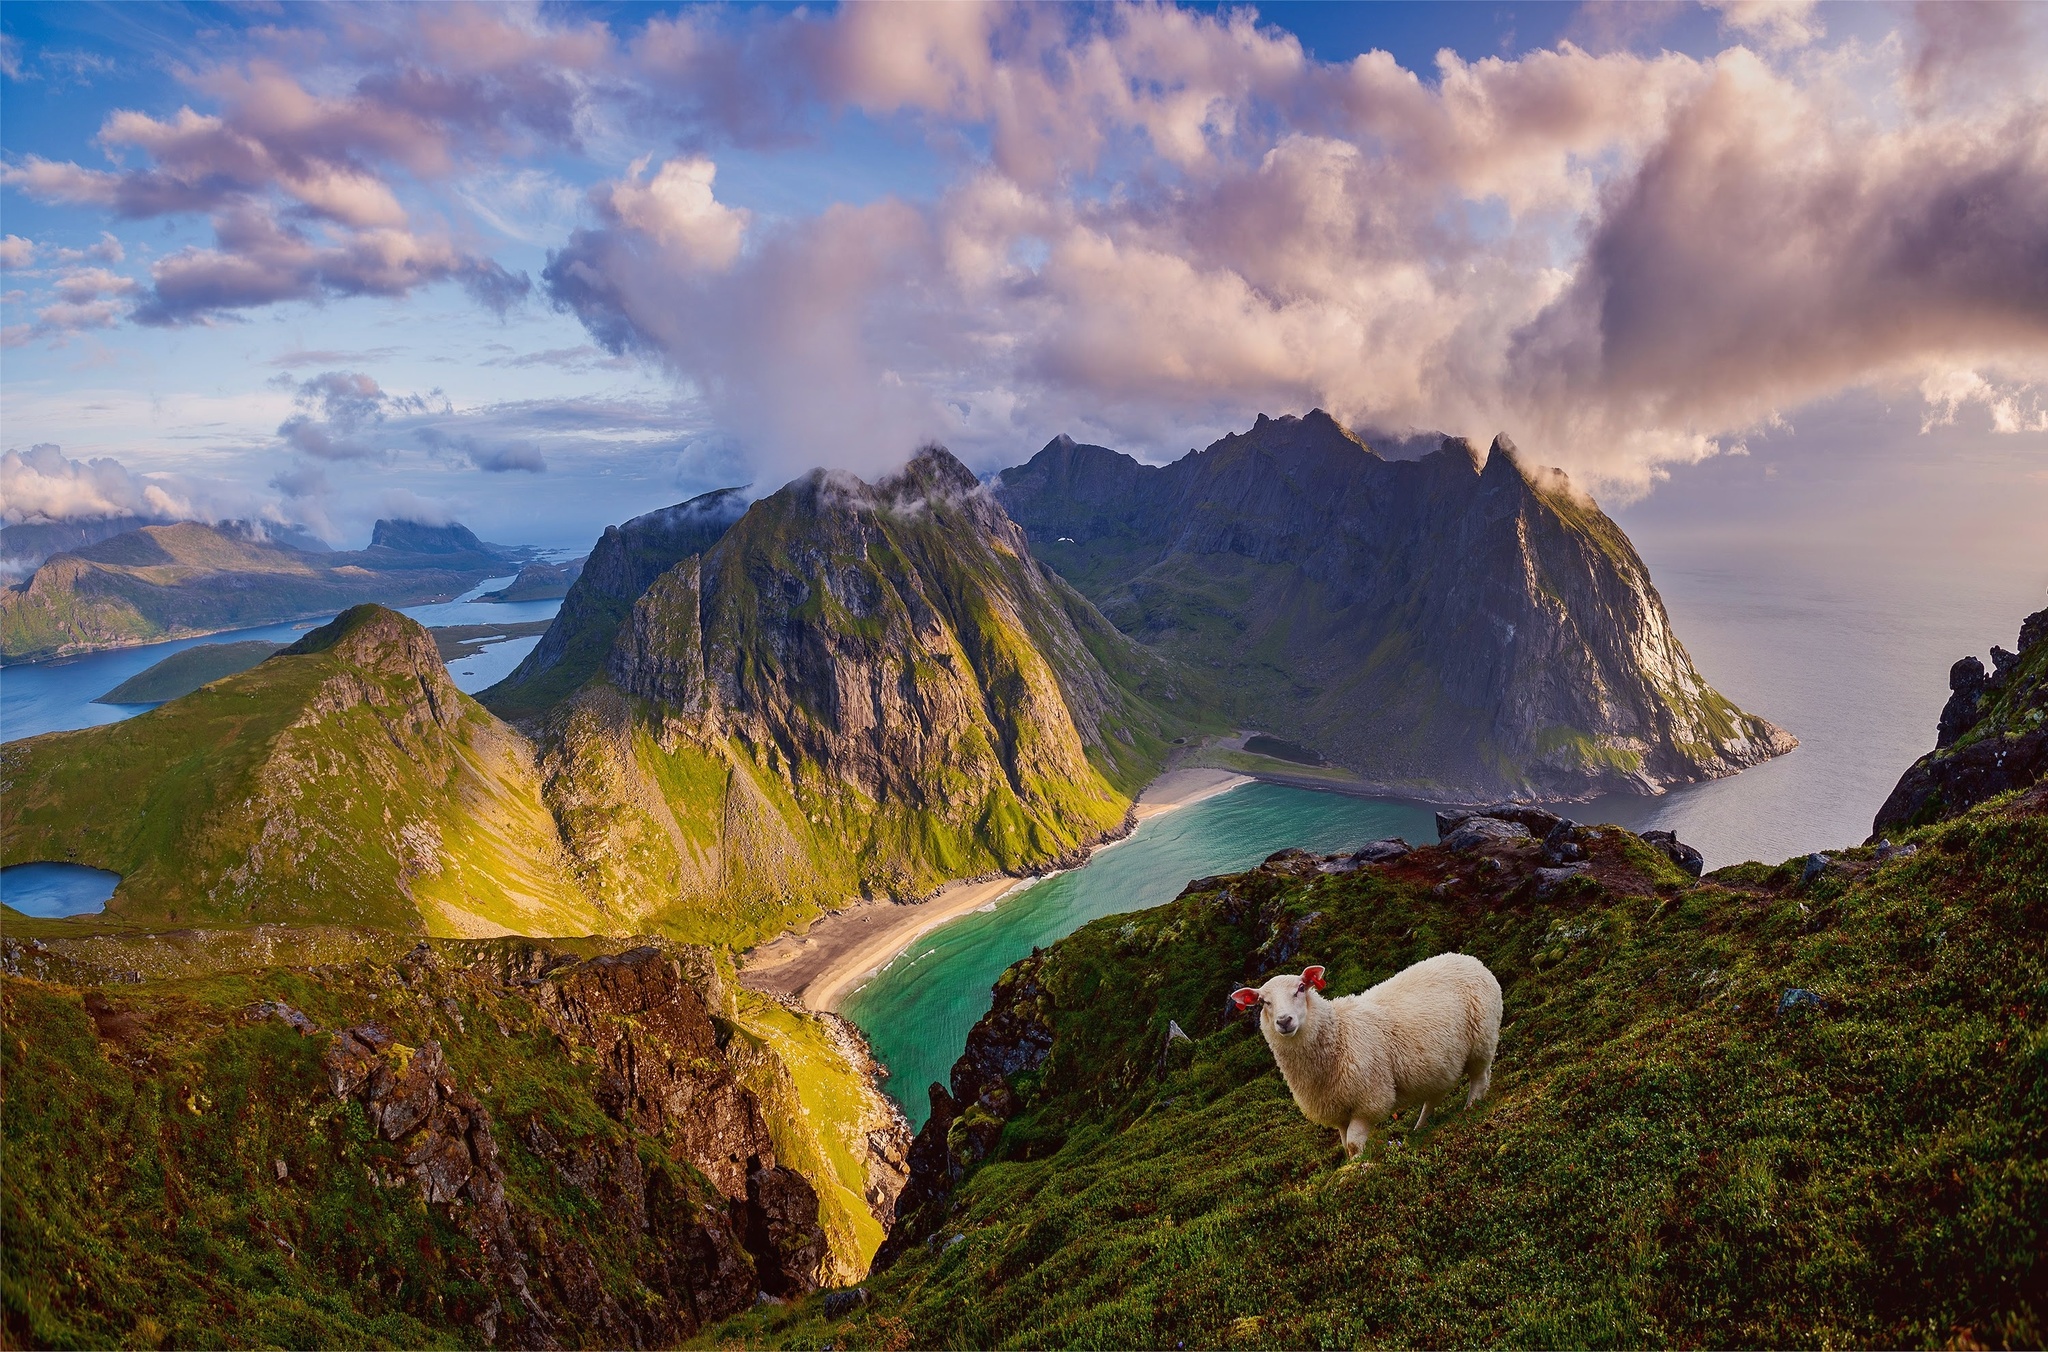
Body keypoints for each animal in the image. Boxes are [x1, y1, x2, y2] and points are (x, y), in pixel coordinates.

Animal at [1228, 950, 1507, 1163]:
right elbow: (1345, 1145)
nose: (1284, 1021)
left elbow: (1353, 1143)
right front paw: (1352, 1165)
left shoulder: (1369, 1100)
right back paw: (1420, 1127)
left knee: (1479, 1077)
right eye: (1263, 1001)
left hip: (1482, 1039)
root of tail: (1468, 958)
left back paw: (1470, 1108)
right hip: (1439, 1063)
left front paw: (1359, 1168)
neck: (1339, 1033)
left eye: (1300, 988)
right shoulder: (1339, 1111)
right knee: (1436, 1095)